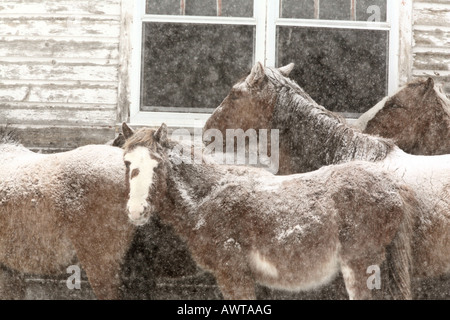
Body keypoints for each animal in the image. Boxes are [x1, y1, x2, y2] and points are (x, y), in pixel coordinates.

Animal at [120, 123, 422, 300]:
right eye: (126, 163)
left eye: (158, 164)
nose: (136, 210)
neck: (208, 195)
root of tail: (393, 185)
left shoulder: (233, 273)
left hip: (360, 266)